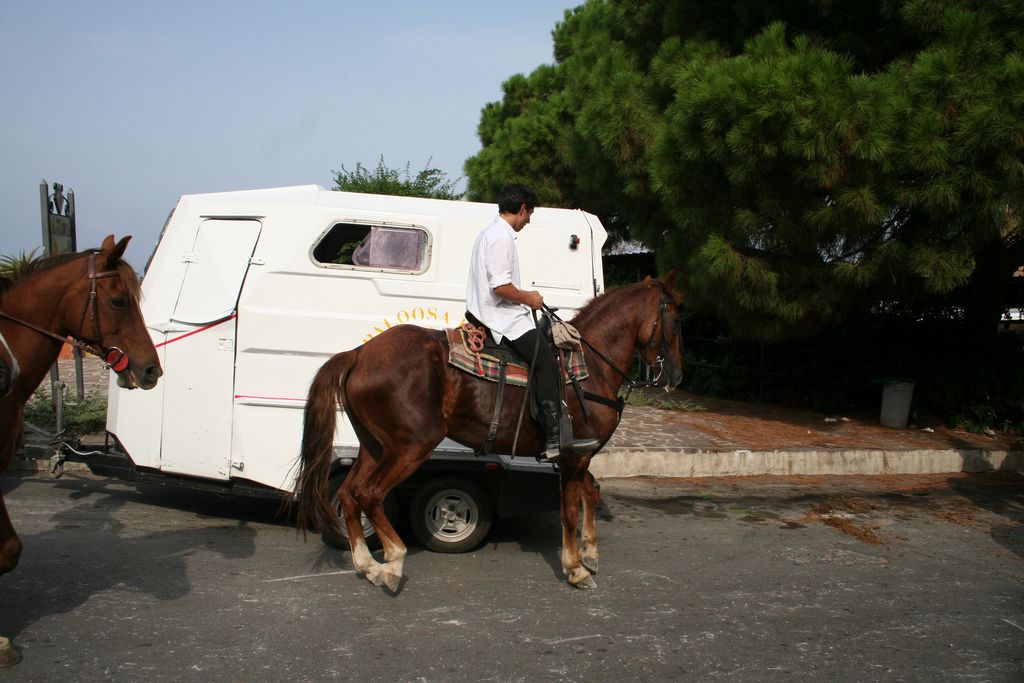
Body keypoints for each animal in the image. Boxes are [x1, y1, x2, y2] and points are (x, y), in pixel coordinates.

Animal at [293, 271, 683, 592]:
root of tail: (358, 354)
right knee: (369, 495)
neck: (588, 368)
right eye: (677, 320)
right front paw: (575, 568)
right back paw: (393, 561)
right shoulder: (574, 457)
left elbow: (592, 492)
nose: (677, 377)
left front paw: (589, 553)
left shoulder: (579, 455)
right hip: (411, 446)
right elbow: (570, 509)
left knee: (349, 494)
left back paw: (368, 565)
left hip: (375, 445)